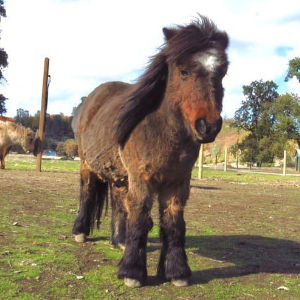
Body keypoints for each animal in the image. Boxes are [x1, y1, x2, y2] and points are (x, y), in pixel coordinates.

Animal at [72, 17, 230, 288]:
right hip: (87, 166)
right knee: (87, 193)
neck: (161, 132)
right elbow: (140, 219)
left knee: (119, 202)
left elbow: (173, 224)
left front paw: (177, 272)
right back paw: (81, 232)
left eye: (222, 72)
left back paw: (119, 240)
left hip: (120, 175)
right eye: (183, 71)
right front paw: (132, 273)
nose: (208, 126)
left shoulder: (177, 183)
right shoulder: (142, 180)